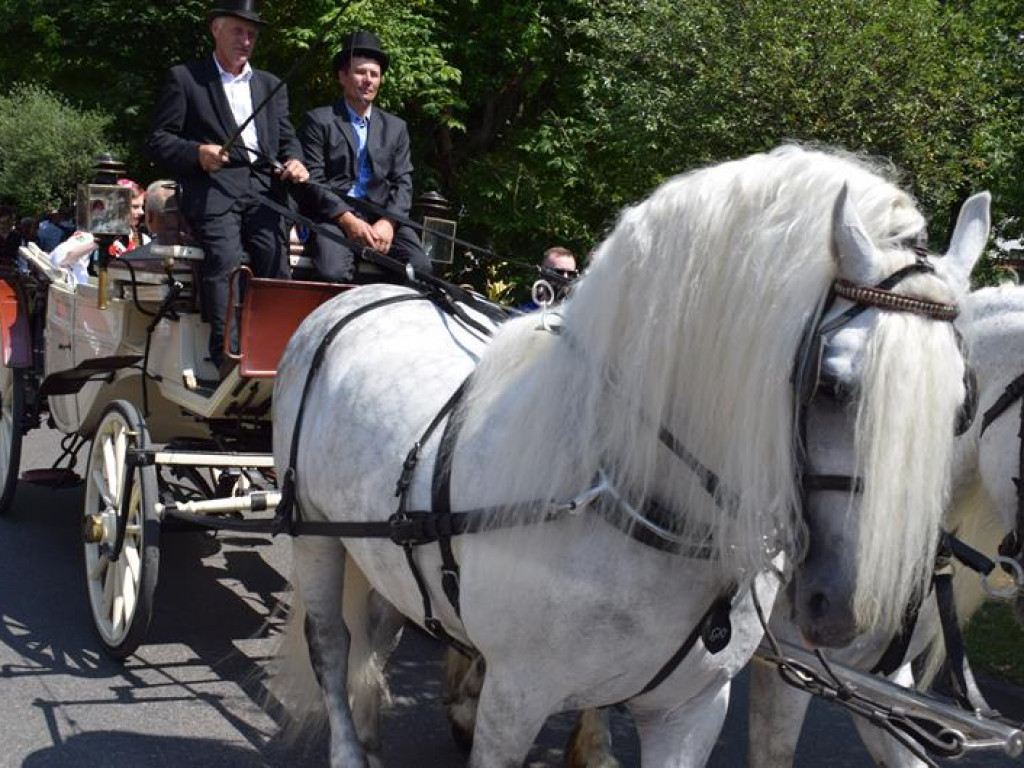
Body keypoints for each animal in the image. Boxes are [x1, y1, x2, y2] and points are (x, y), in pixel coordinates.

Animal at [268, 145, 978, 768]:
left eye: (961, 404)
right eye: (831, 385)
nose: (862, 617)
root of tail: (367, 293)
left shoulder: (690, 712)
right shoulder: (514, 699)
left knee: (379, 628)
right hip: (315, 530)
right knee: (331, 643)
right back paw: (348, 747)